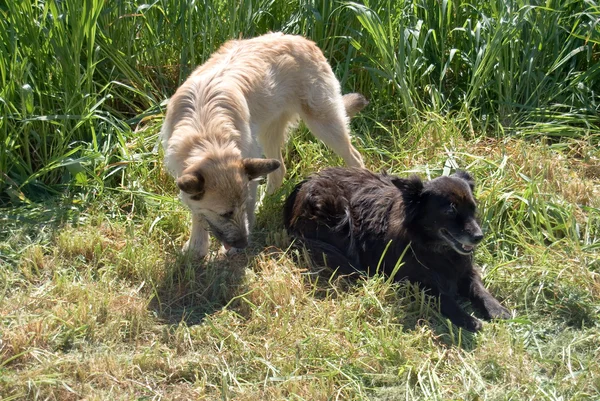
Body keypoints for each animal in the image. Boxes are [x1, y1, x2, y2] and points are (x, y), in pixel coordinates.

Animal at [284, 166, 508, 332]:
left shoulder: (464, 270)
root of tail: (301, 187)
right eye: (450, 211)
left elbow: (479, 289)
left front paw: (496, 309)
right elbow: (444, 298)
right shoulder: (414, 283)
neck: (433, 248)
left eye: (473, 208)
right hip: (339, 216)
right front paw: (467, 318)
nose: (478, 236)